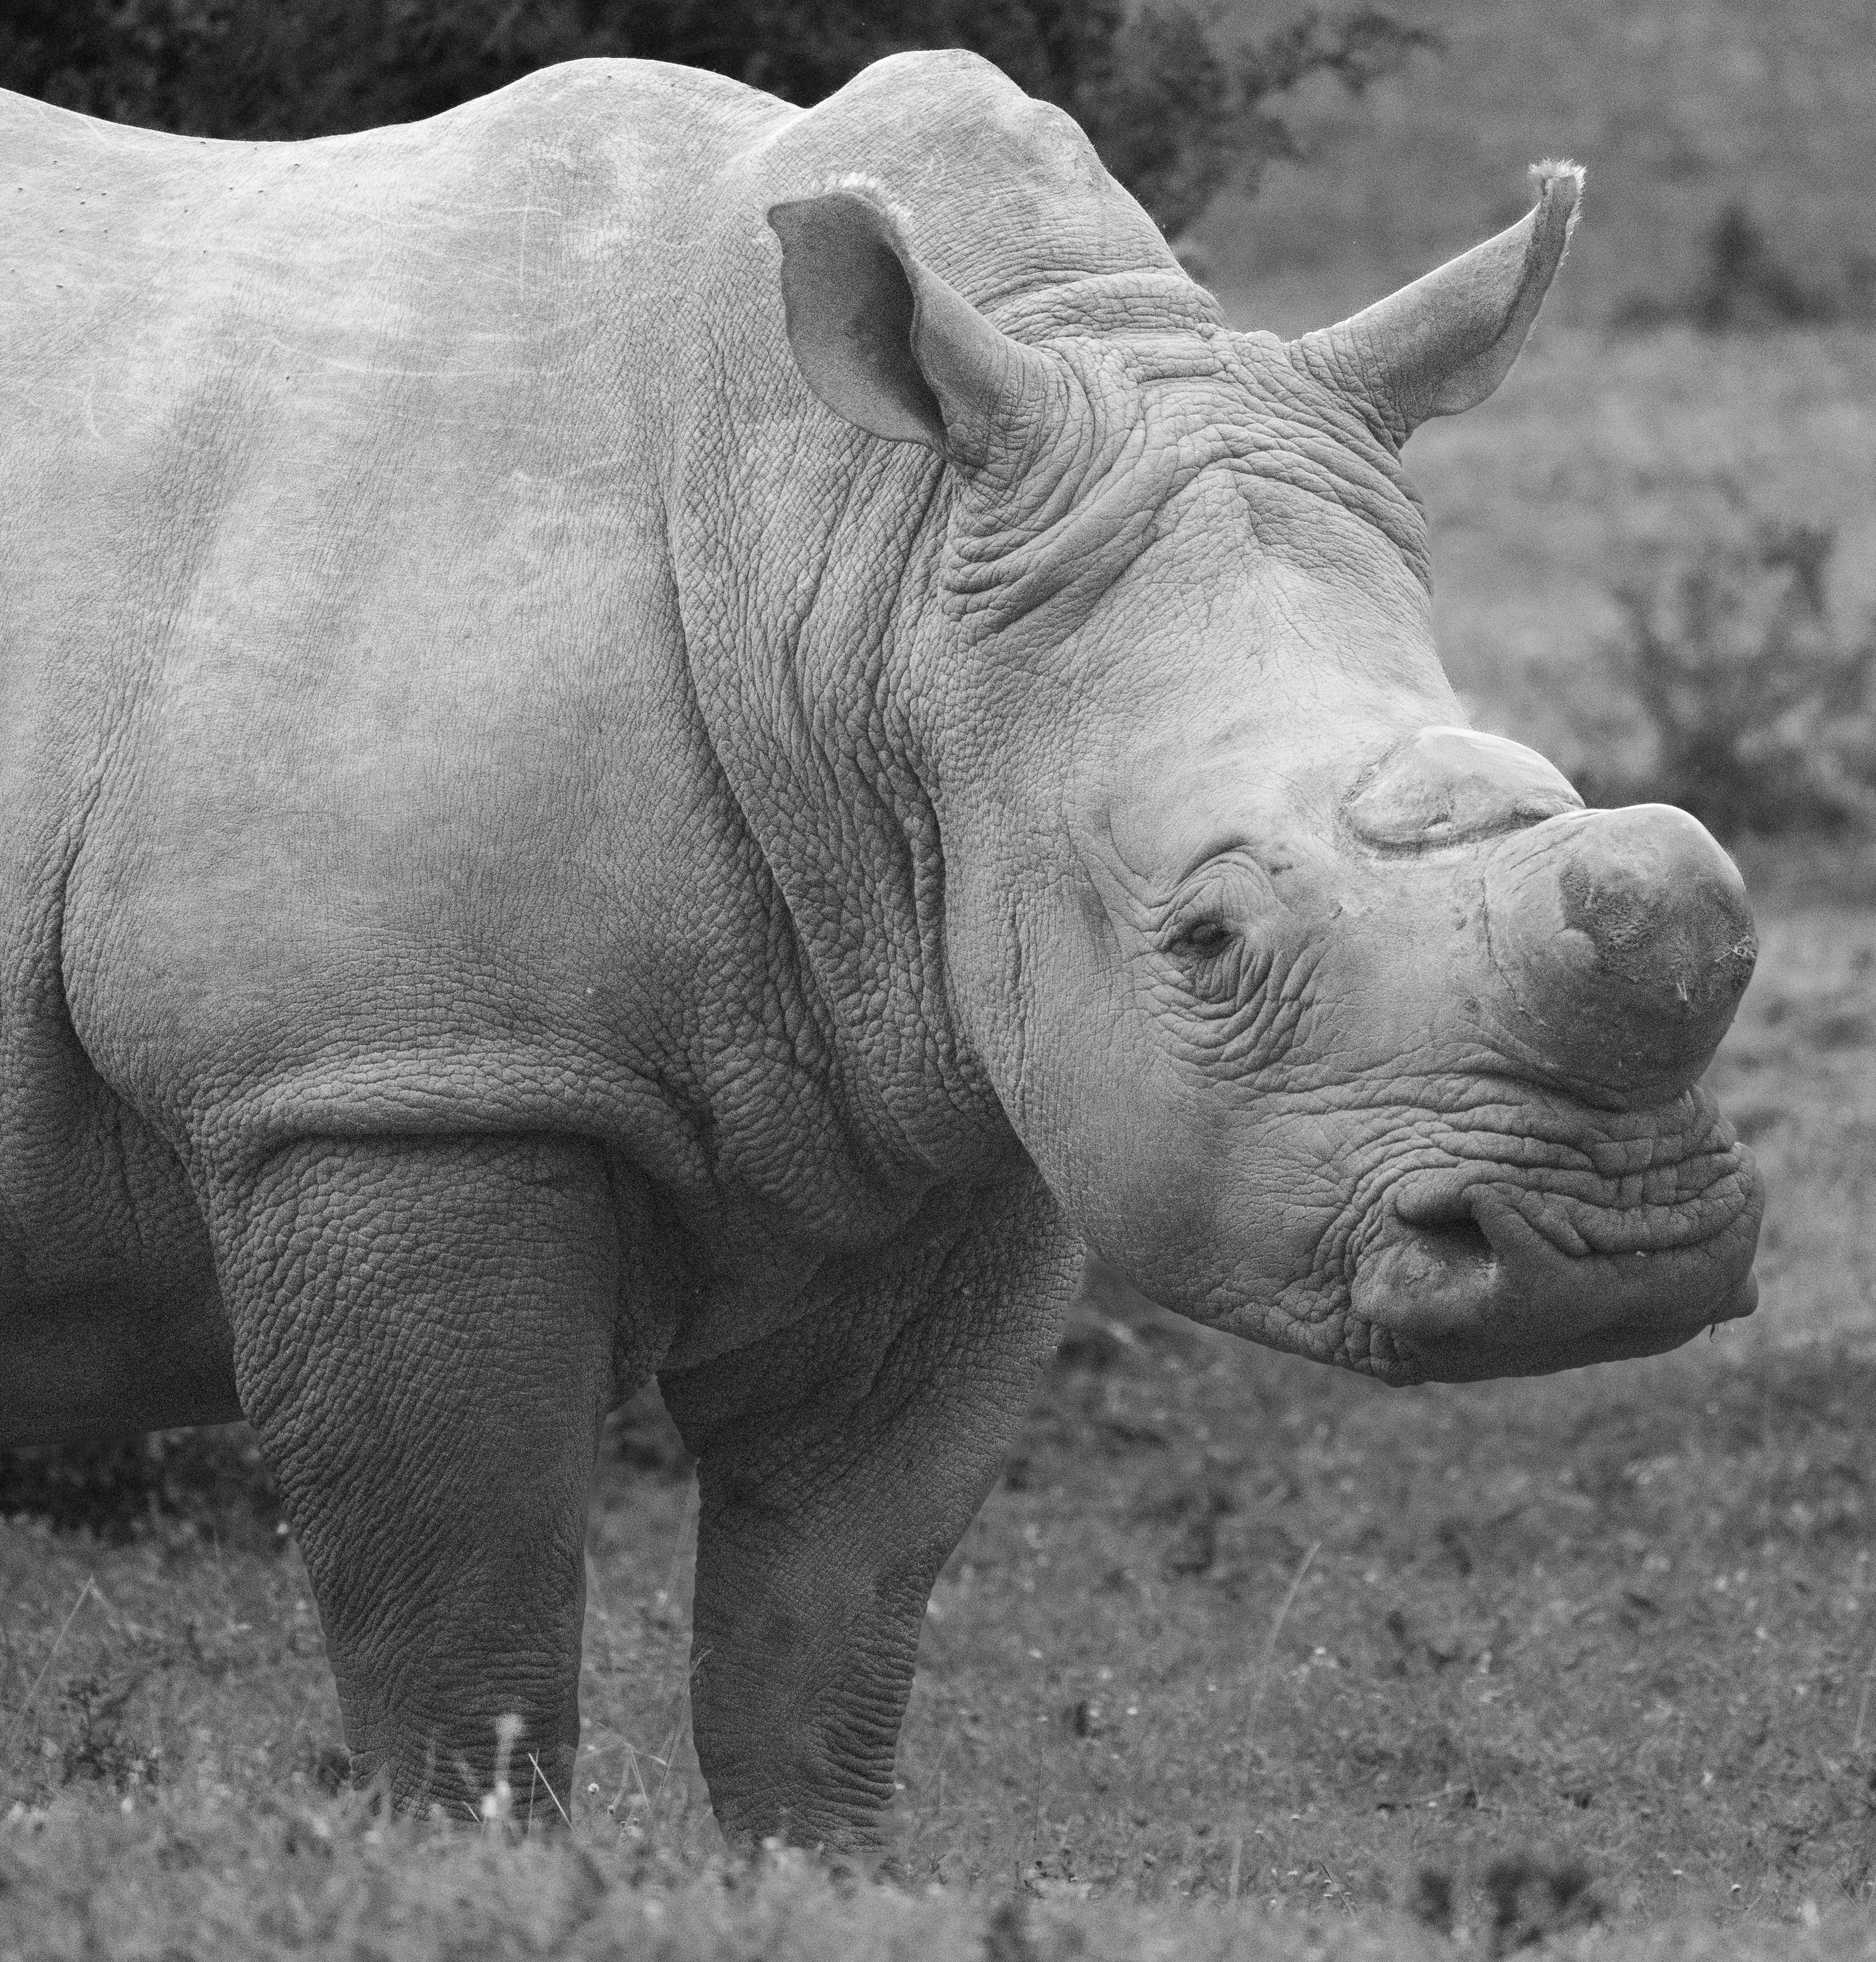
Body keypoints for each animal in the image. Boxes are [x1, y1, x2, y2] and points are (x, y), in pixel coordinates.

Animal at [0, 51, 1761, 1843]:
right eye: (1206, 940)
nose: (1614, 1251)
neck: (860, 568)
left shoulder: (948, 1084)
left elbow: (833, 1609)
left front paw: (821, 1868)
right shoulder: (389, 1077)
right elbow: (459, 1617)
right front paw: (457, 1870)